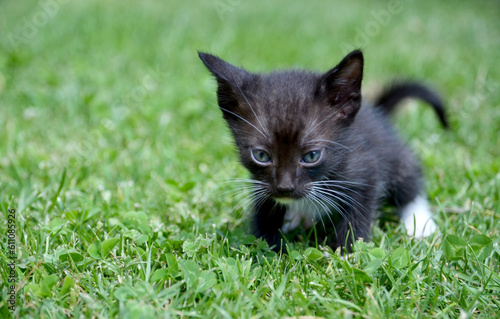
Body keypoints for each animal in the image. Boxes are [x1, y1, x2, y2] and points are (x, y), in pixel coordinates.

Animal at [197, 50, 448, 252]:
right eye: (261, 156)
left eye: (311, 156)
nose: (284, 188)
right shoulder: (260, 183)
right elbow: (265, 208)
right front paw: (267, 247)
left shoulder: (365, 168)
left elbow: (358, 213)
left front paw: (346, 253)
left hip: (395, 154)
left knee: (409, 179)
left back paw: (420, 224)